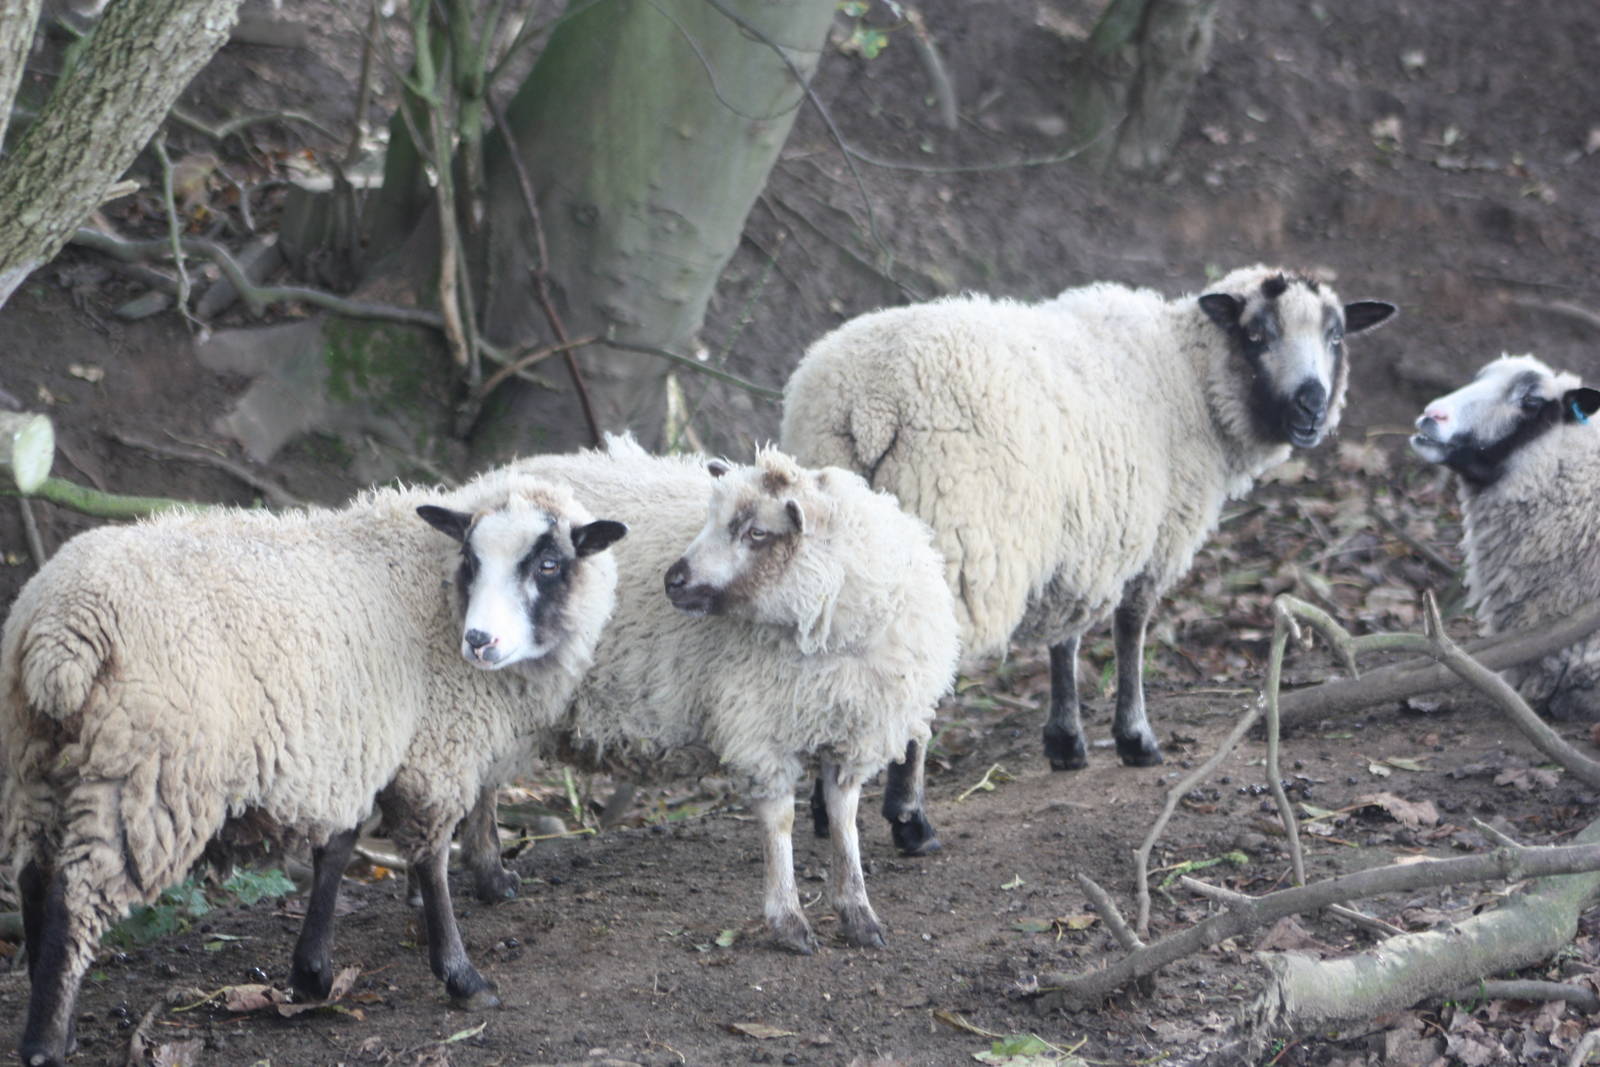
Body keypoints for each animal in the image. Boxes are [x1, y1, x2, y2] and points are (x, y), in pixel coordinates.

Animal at [1, 476, 625, 1067]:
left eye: (549, 564)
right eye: (470, 560)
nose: (480, 642)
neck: (434, 588)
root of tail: (61, 629)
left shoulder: (352, 750)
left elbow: (338, 849)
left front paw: (312, 974)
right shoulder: (433, 750)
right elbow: (430, 861)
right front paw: (460, 976)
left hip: (38, 763)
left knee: (35, 877)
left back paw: (57, 1018)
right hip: (147, 773)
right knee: (76, 897)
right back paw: (44, 1043)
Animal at [447, 435, 960, 954]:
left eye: (757, 532)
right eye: (712, 518)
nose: (672, 580)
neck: (821, 626)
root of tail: (488, 481)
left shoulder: (853, 729)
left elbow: (845, 821)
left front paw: (858, 913)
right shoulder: (759, 726)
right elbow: (780, 824)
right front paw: (789, 920)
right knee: (483, 781)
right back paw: (490, 873)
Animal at [781, 266, 1397, 850]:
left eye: (1336, 335)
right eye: (1257, 334)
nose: (1312, 404)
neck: (1190, 373)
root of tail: (864, 406)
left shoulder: (1082, 540)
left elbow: (1065, 639)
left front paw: (1066, 741)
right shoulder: (1155, 534)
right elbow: (1130, 630)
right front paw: (1135, 738)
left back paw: (827, 809)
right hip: (948, 545)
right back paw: (910, 818)